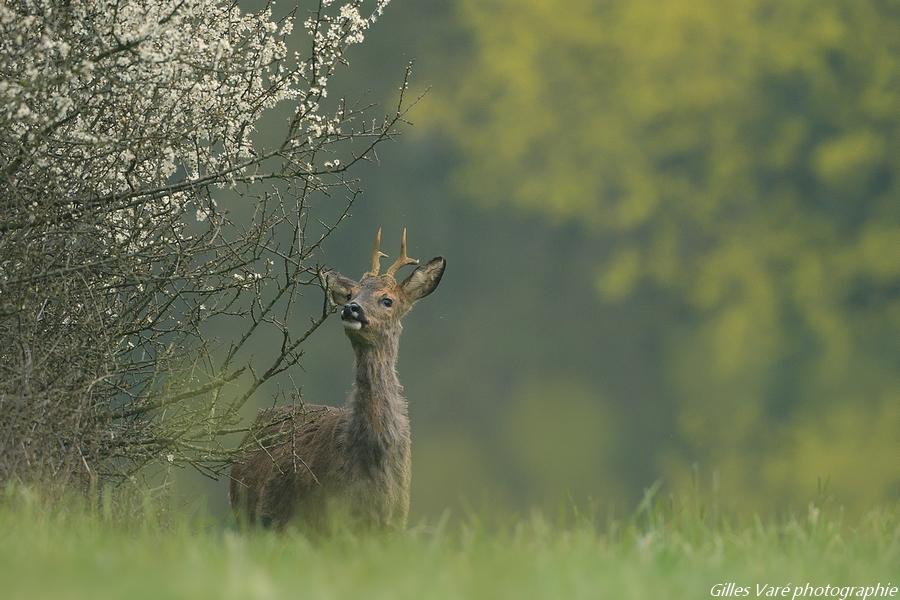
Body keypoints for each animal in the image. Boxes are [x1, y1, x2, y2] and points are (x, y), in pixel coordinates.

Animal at [229, 226, 446, 528]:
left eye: (387, 300)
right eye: (352, 292)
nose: (351, 308)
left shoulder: (394, 519)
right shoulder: (325, 516)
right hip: (247, 515)